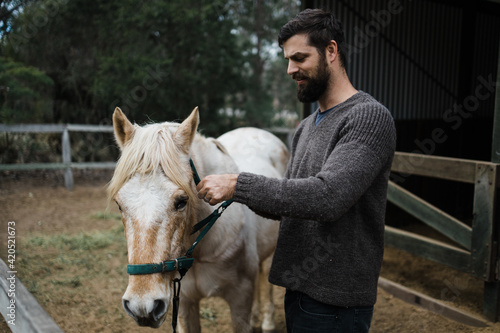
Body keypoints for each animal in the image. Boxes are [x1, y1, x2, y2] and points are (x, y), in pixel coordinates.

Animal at [109, 107, 290, 332]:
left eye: (181, 201)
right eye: (119, 204)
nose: (142, 307)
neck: (200, 249)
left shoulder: (240, 301)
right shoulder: (184, 302)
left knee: (265, 280)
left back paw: (267, 322)